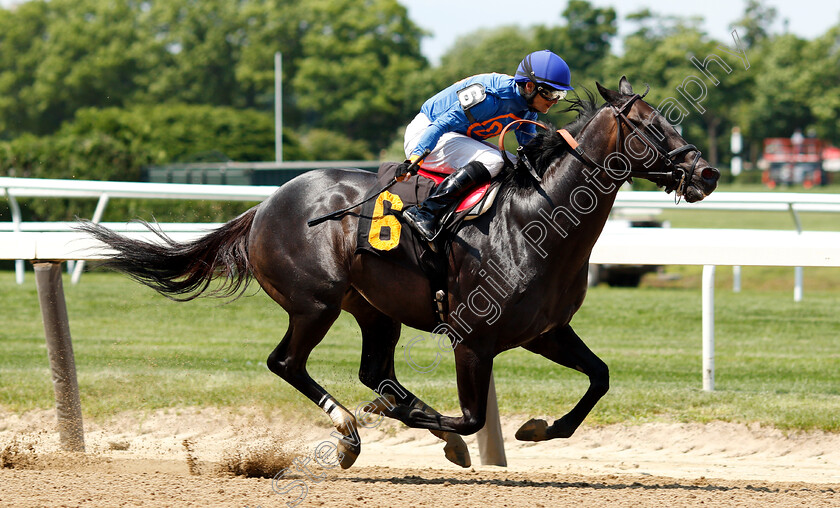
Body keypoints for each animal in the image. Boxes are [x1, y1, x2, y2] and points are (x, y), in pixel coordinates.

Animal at [79, 77, 720, 470]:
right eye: (651, 126)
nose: (706, 173)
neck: (534, 220)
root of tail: (263, 205)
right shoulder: (472, 339)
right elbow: (470, 414)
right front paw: (440, 431)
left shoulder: (545, 332)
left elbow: (600, 378)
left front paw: (537, 429)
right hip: (315, 304)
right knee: (287, 363)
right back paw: (349, 431)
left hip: (375, 311)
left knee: (375, 370)